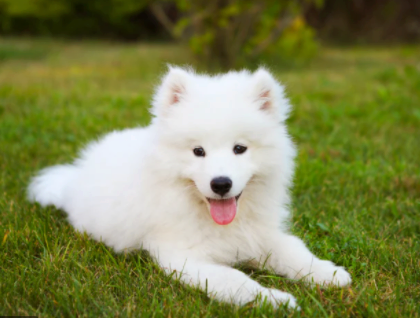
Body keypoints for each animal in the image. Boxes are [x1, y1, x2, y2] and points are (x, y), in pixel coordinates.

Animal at [27, 66, 352, 308]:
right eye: (198, 151)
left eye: (239, 148)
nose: (221, 183)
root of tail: (74, 176)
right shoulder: (182, 256)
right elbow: (234, 280)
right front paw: (274, 300)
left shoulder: (260, 235)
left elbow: (294, 251)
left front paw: (328, 273)